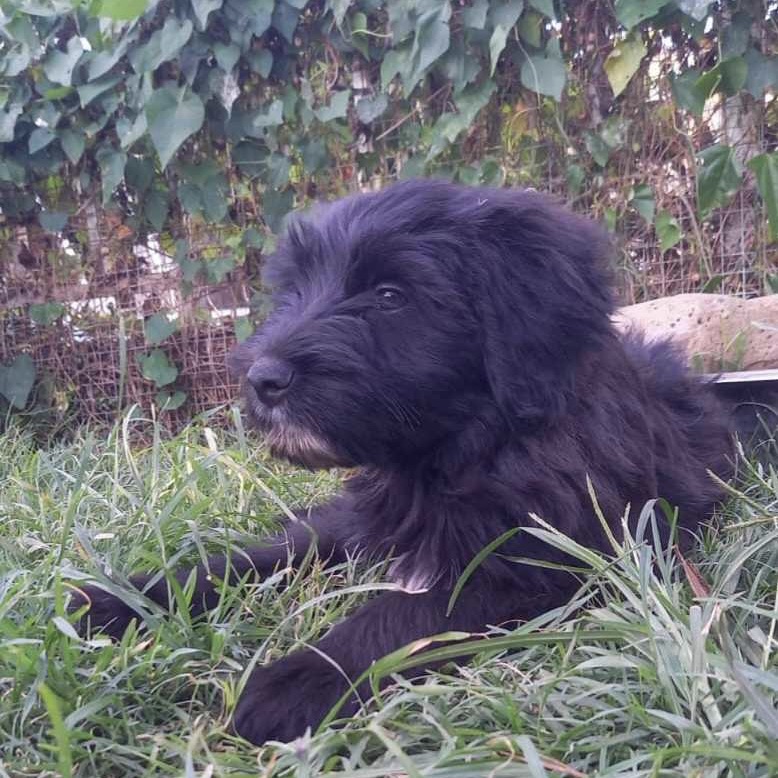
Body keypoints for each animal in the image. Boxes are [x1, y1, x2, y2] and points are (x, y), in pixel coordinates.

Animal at [73, 179, 728, 744]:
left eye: (390, 296)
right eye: (293, 290)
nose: (262, 379)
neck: (455, 457)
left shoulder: (547, 566)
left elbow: (405, 615)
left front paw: (297, 679)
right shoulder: (356, 522)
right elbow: (260, 557)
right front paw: (121, 600)